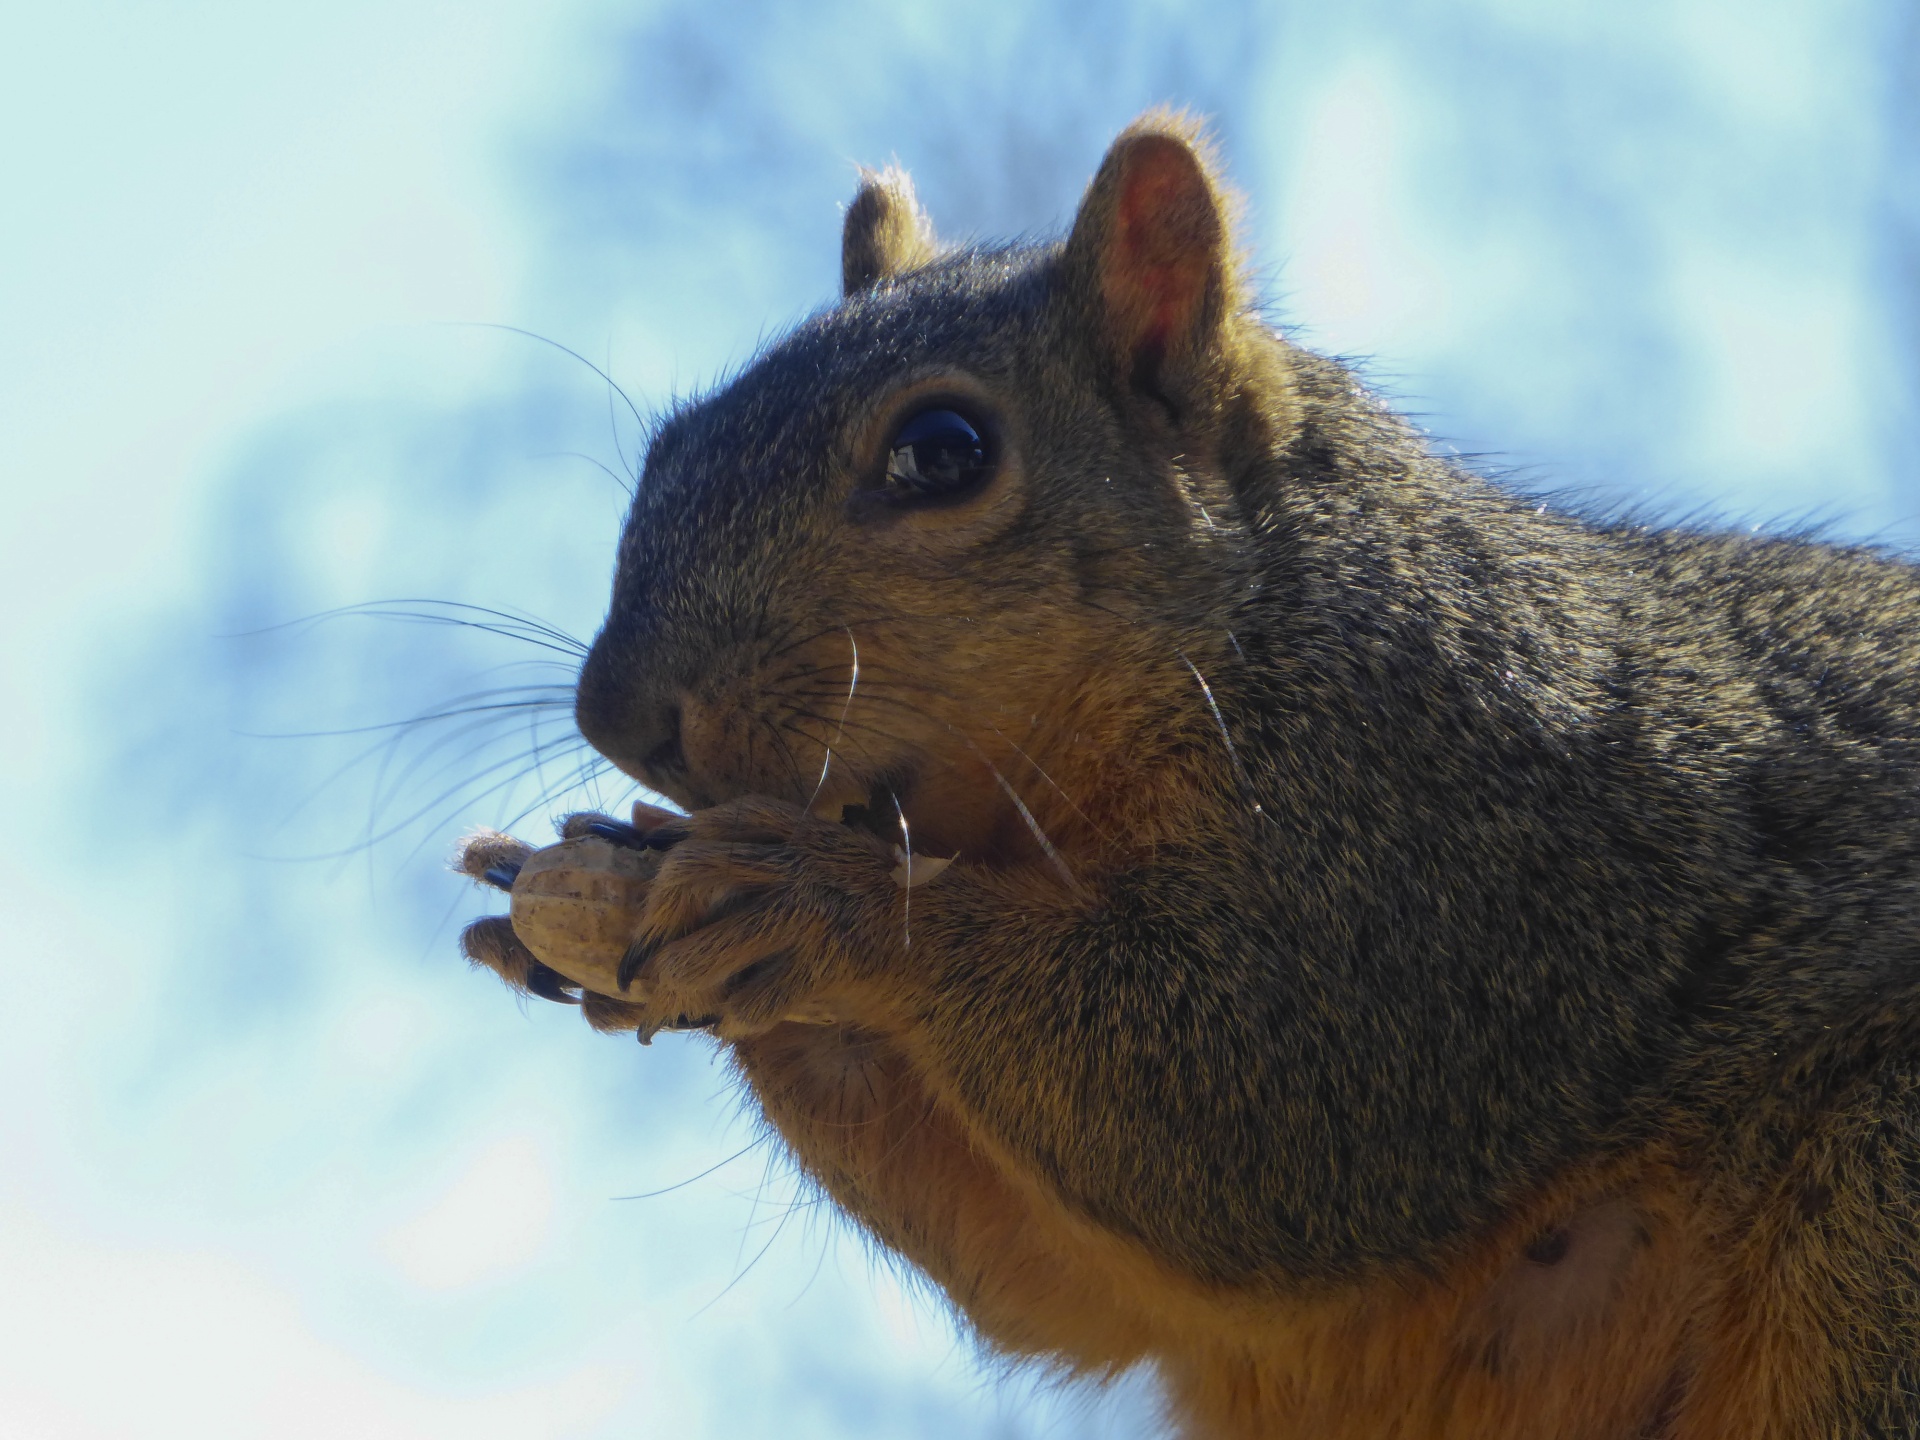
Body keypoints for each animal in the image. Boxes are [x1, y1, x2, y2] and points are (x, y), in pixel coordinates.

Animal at [460, 115, 1920, 1440]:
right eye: (668, 447)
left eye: (942, 449)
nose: (618, 715)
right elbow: (1052, 1285)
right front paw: (588, 900)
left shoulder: (1453, 846)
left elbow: (1243, 1118)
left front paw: (822, 902)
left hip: (1875, 1213)